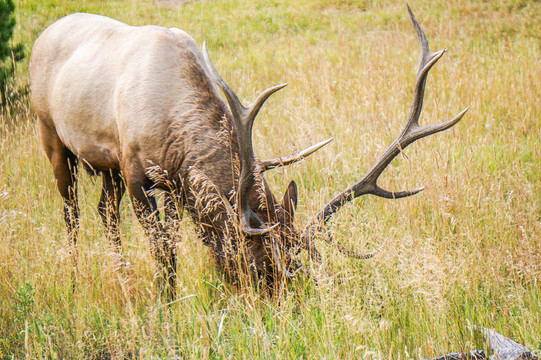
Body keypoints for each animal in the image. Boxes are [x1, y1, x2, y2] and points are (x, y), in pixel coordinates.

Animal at [29, 6, 466, 298]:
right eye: (260, 267)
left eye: (301, 266)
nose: (278, 306)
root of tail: (43, 33)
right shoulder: (135, 167)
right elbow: (163, 251)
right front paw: (167, 305)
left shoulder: (172, 183)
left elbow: (174, 239)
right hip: (52, 135)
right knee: (72, 211)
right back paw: (74, 277)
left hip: (105, 166)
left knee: (105, 211)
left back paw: (120, 274)